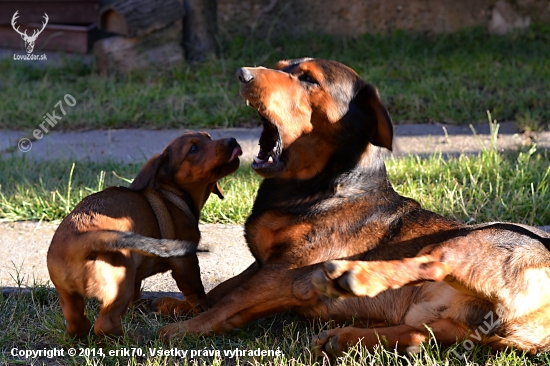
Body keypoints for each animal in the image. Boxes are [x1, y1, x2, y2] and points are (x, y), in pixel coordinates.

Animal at [48, 132, 243, 338]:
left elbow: (136, 291)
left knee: (76, 323)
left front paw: (137, 308)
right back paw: (132, 337)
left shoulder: (137, 274)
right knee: (105, 324)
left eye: (209, 137)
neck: (171, 193)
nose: (232, 141)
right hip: (119, 284)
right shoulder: (186, 263)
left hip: (68, 295)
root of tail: (83, 240)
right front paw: (203, 309)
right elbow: (197, 293)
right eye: (193, 148)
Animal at [158, 58, 550, 356]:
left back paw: (352, 278)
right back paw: (344, 337)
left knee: (432, 263)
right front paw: (184, 306)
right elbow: (222, 289)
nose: (243, 74)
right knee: (419, 335)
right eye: (282, 67)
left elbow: (231, 302)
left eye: (308, 79)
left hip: (467, 244)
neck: (325, 188)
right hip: (446, 323)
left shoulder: (283, 273)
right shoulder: (264, 263)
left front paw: (184, 329)